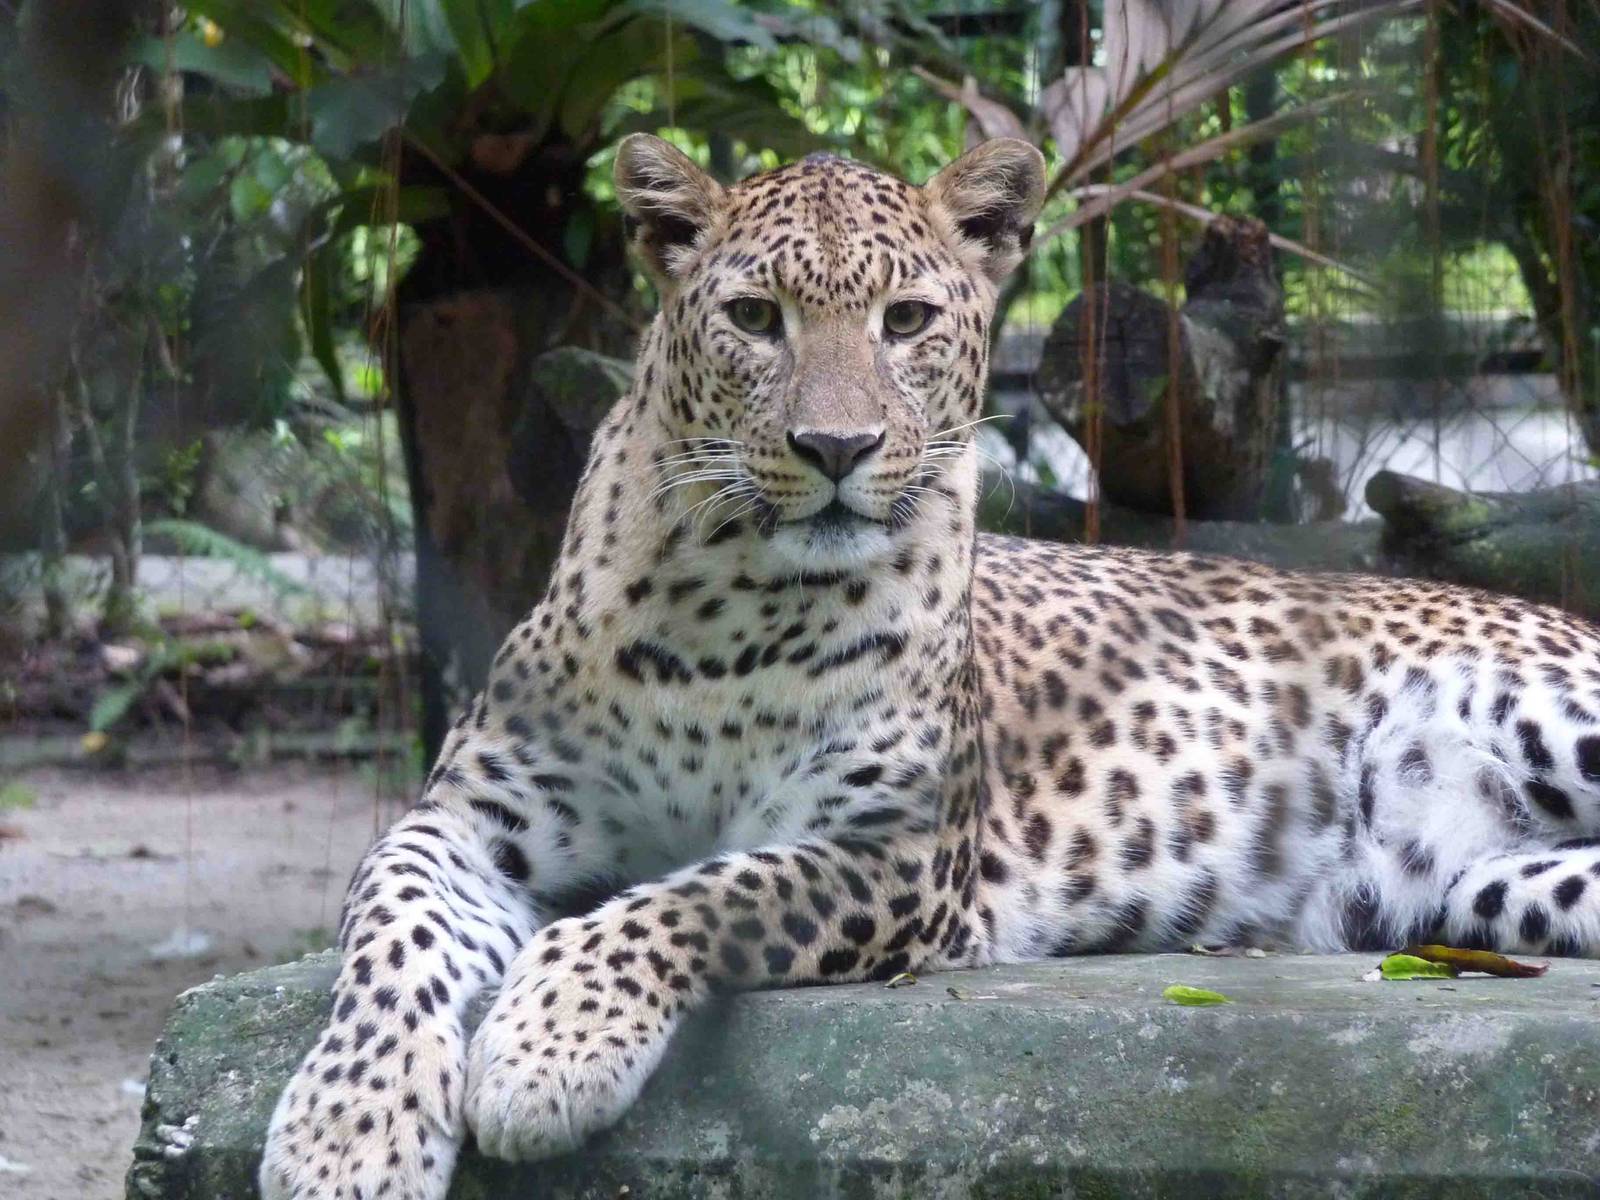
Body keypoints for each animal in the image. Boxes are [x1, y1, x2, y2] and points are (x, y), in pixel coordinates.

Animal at [259, 133, 1600, 1199]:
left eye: (904, 321)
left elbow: (688, 897)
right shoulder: (463, 818)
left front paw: (548, 1046)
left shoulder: (897, 852)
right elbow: (391, 937)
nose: (836, 447)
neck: (725, 609)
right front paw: (347, 1135)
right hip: (1488, 890)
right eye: (756, 319)